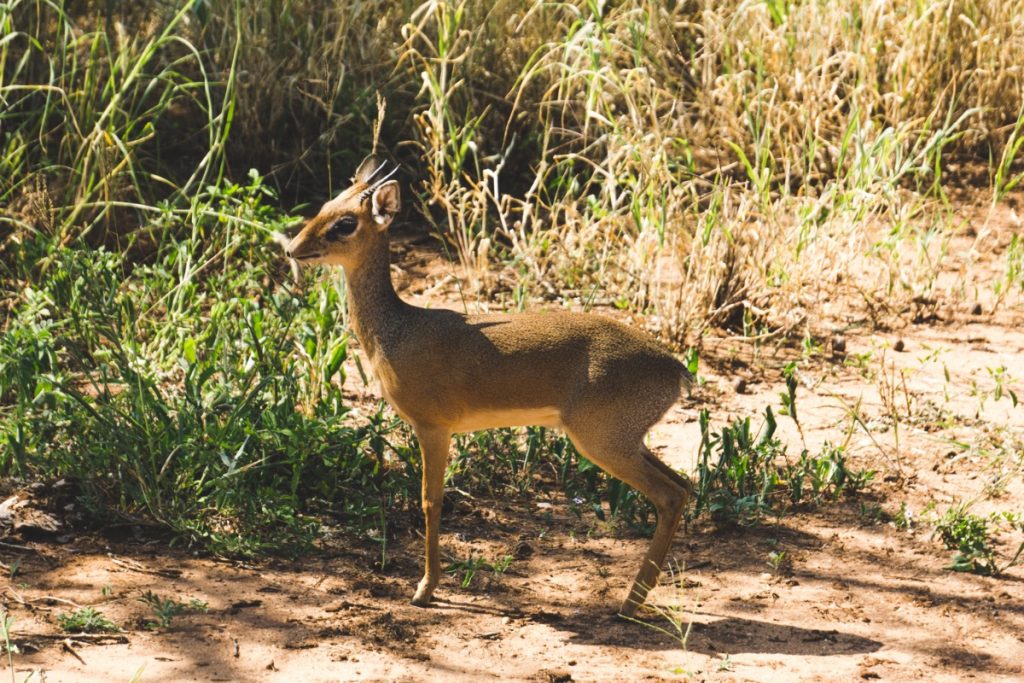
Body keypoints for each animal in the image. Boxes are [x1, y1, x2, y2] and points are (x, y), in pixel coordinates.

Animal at [284, 156, 692, 618]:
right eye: (325, 205)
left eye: (346, 223)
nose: (293, 248)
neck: (398, 331)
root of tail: (675, 369)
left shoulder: (434, 428)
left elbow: (430, 502)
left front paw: (425, 589)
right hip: (628, 441)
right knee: (685, 487)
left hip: (603, 442)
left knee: (670, 495)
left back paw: (628, 605)